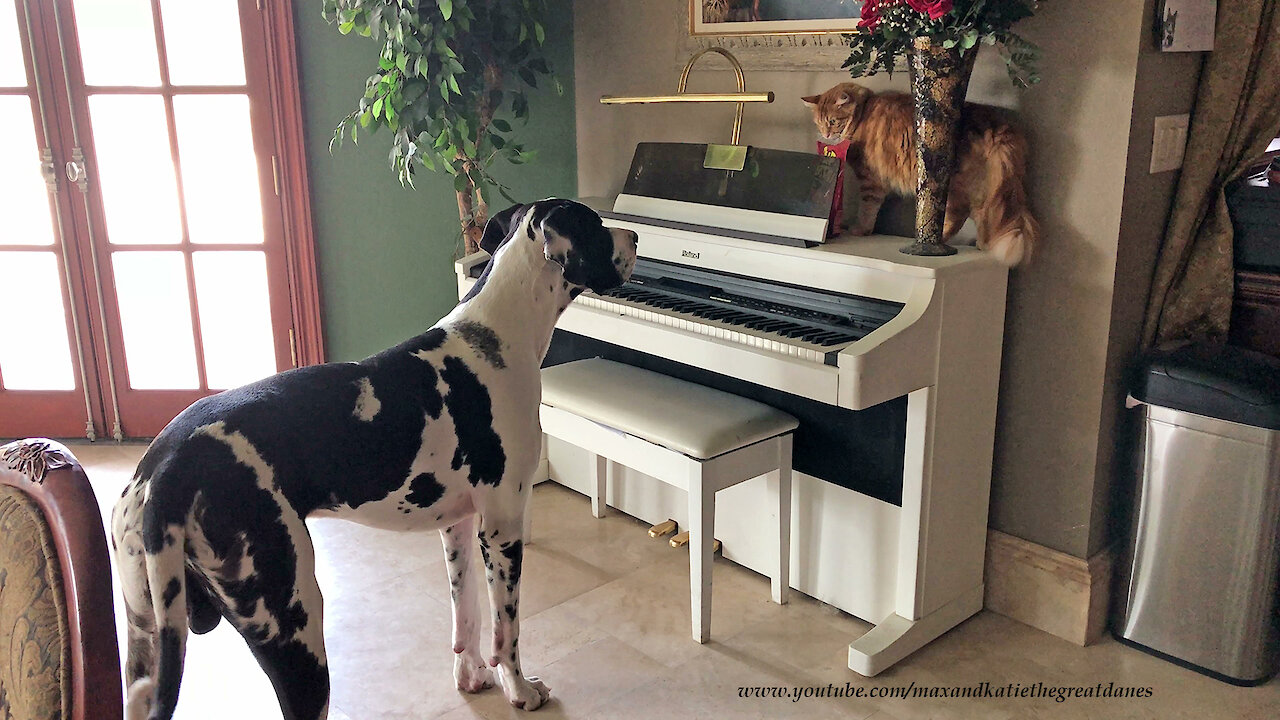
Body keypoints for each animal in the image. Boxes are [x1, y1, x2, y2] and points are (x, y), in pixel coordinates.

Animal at [803, 81, 1034, 266]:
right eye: (820, 123)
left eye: (832, 121)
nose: (825, 134)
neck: (863, 112)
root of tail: (997, 125)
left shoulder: (871, 181)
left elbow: (867, 210)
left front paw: (860, 230)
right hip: (985, 191)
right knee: (986, 218)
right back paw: (982, 246)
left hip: (950, 187)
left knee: (959, 216)